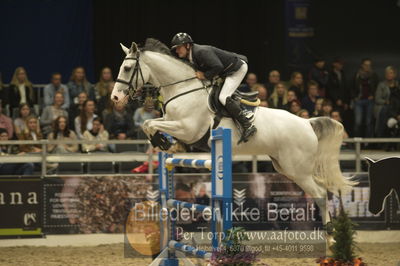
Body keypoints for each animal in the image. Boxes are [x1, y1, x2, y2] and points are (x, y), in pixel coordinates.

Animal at [110, 39, 356, 243]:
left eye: (128, 68)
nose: (115, 98)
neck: (183, 88)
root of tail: (307, 123)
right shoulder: (172, 120)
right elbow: (148, 123)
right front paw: (165, 143)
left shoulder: (187, 128)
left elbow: (151, 124)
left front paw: (162, 141)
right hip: (286, 167)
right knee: (320, 189)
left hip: (298, 170)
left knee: (320, 194)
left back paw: (331, 237)